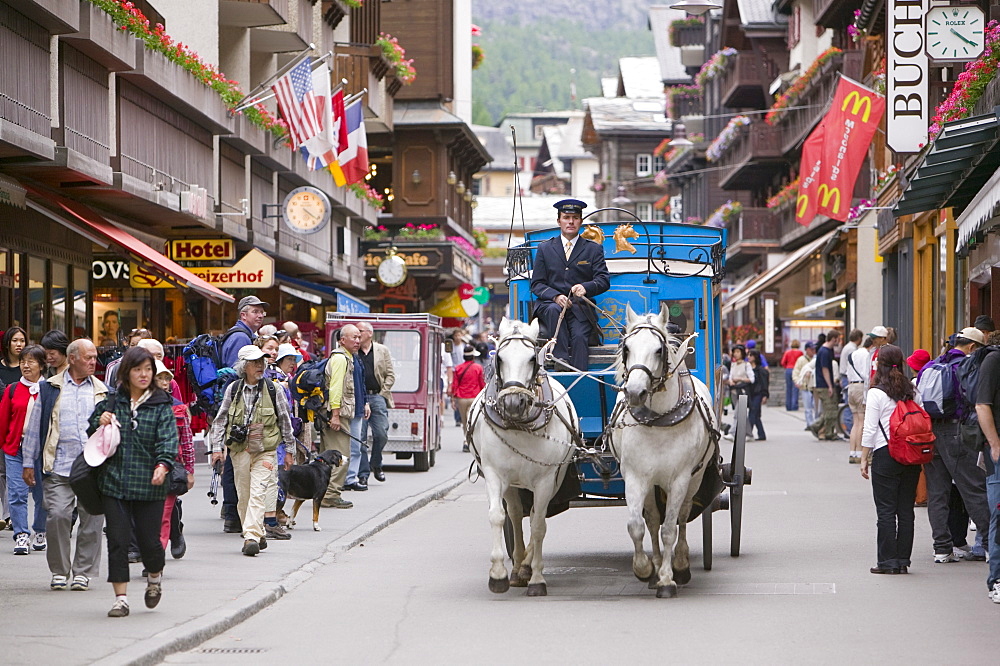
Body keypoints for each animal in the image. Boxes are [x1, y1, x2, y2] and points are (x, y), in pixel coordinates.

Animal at [466, 316, 584, 596]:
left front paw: (537, 578)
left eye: (532, 359)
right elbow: (498, 516)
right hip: (513, 483)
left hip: (555, 477)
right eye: (499, 358)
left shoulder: (546, 479)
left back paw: (528, 564)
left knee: (535, 516)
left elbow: (539, 525)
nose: (513, 403)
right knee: (517, 513)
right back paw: (519, 566)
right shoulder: (494, 474)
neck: (519, 424)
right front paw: (498, 574)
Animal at [604, 300, 716, 596]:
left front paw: (667, 578)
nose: (634, 392)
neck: (658, 419)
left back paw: (681, 563)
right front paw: (645, 568)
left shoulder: (679, 479)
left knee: (682, 517)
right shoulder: (634, 476)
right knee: (653, 519)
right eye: (626, 348)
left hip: (694, 478)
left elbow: (670, 529)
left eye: (659, 349)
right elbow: (637, 525)